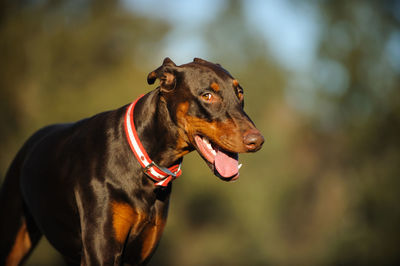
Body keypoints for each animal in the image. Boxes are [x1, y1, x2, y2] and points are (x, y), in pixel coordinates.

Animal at [0, 57, 264, 264]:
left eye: (240, 93)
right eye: (207, 95)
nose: (257, 140)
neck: (143, 166)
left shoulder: (139, 255)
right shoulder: (101, 251)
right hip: (13, 238)